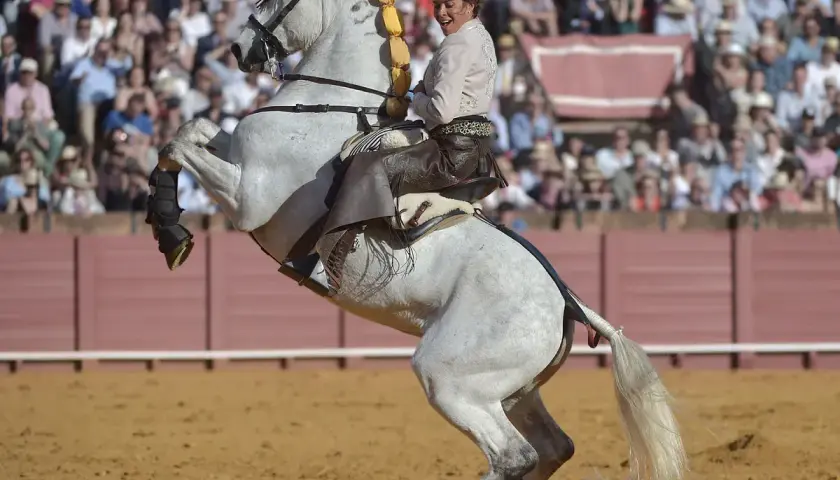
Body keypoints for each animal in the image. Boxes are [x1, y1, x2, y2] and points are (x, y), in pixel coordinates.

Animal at [147, 0, 688, 478]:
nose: (238, 47)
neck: (324, 108)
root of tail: (566, 300)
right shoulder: (237, 161)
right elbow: (193, 127)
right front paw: (167, 222)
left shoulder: (248, 196)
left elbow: (180, 139)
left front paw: (171, 230)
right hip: (510, 390)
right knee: (553, 448)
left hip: (448, 377)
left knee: (514, 456)